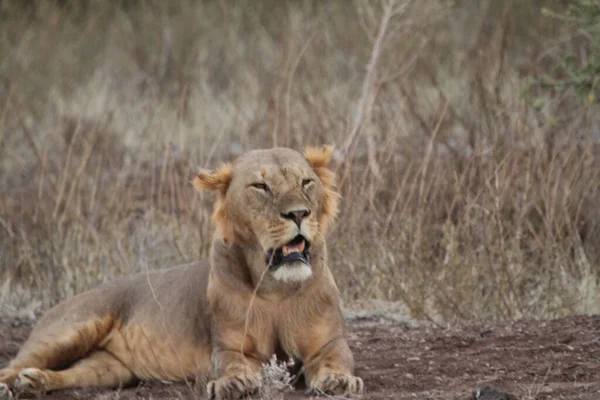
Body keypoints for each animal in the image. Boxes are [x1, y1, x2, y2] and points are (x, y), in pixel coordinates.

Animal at [0, 146, 360, 400]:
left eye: (306, 182)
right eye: (261, 186)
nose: (299, 213)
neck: (276, 289)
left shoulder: (329, 343)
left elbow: (336, 359)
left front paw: (339, 380)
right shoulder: (230, 347)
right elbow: (233, 363)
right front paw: (233, 383)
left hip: (108, 369)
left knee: (72, 373)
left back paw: (33, 382)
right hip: (71, 330)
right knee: (12, 365)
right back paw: (12, 384)